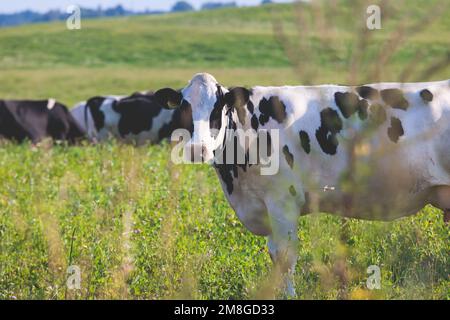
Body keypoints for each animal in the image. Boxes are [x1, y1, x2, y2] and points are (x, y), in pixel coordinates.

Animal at [156, 73, 450, 298]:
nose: (197, 149)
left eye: (217, 109)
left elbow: (285, 257)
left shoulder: (282, 201)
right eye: (184, 109)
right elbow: (274, 255)